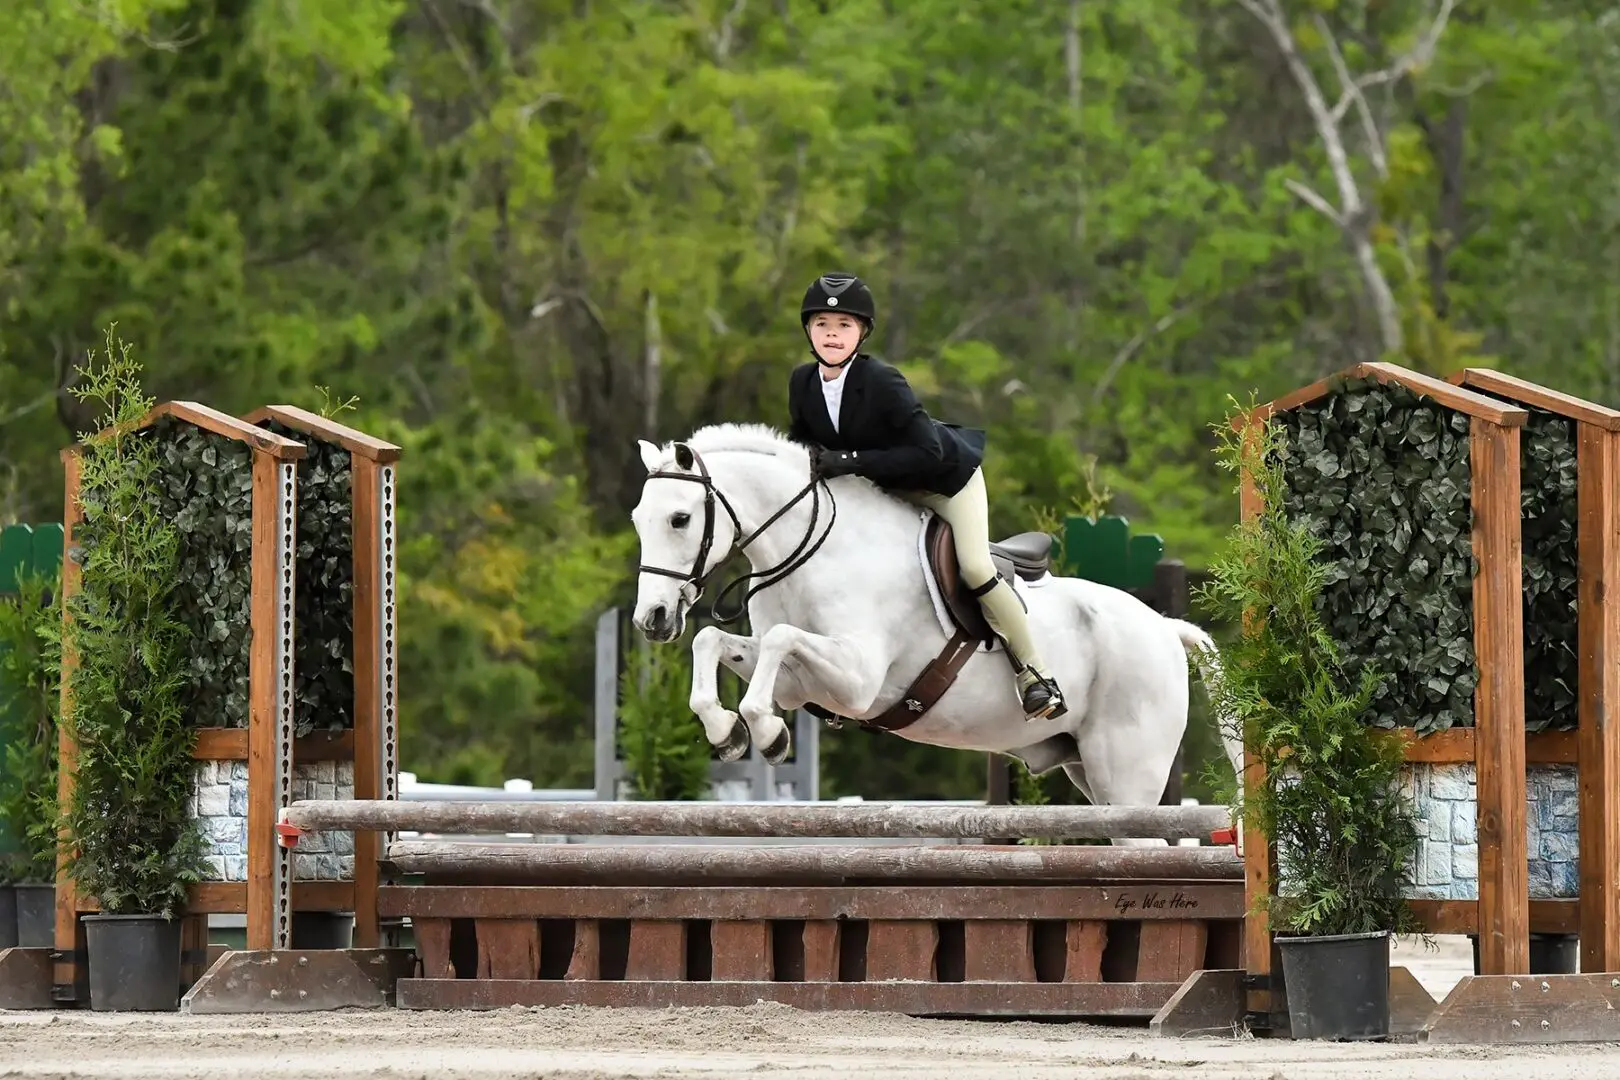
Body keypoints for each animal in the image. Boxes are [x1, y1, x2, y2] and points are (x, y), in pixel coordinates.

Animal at [628, 424, 1237, 835]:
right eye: (638, 520)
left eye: (680, 519)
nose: (652, 619)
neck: (807, 549)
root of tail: (1164, 628)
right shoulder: (803, 683)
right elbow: (715, 640)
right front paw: (727, 731)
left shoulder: (856, 679)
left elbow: (779, 641)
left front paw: (768, 732)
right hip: (1087, 770)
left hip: (1129, 773)